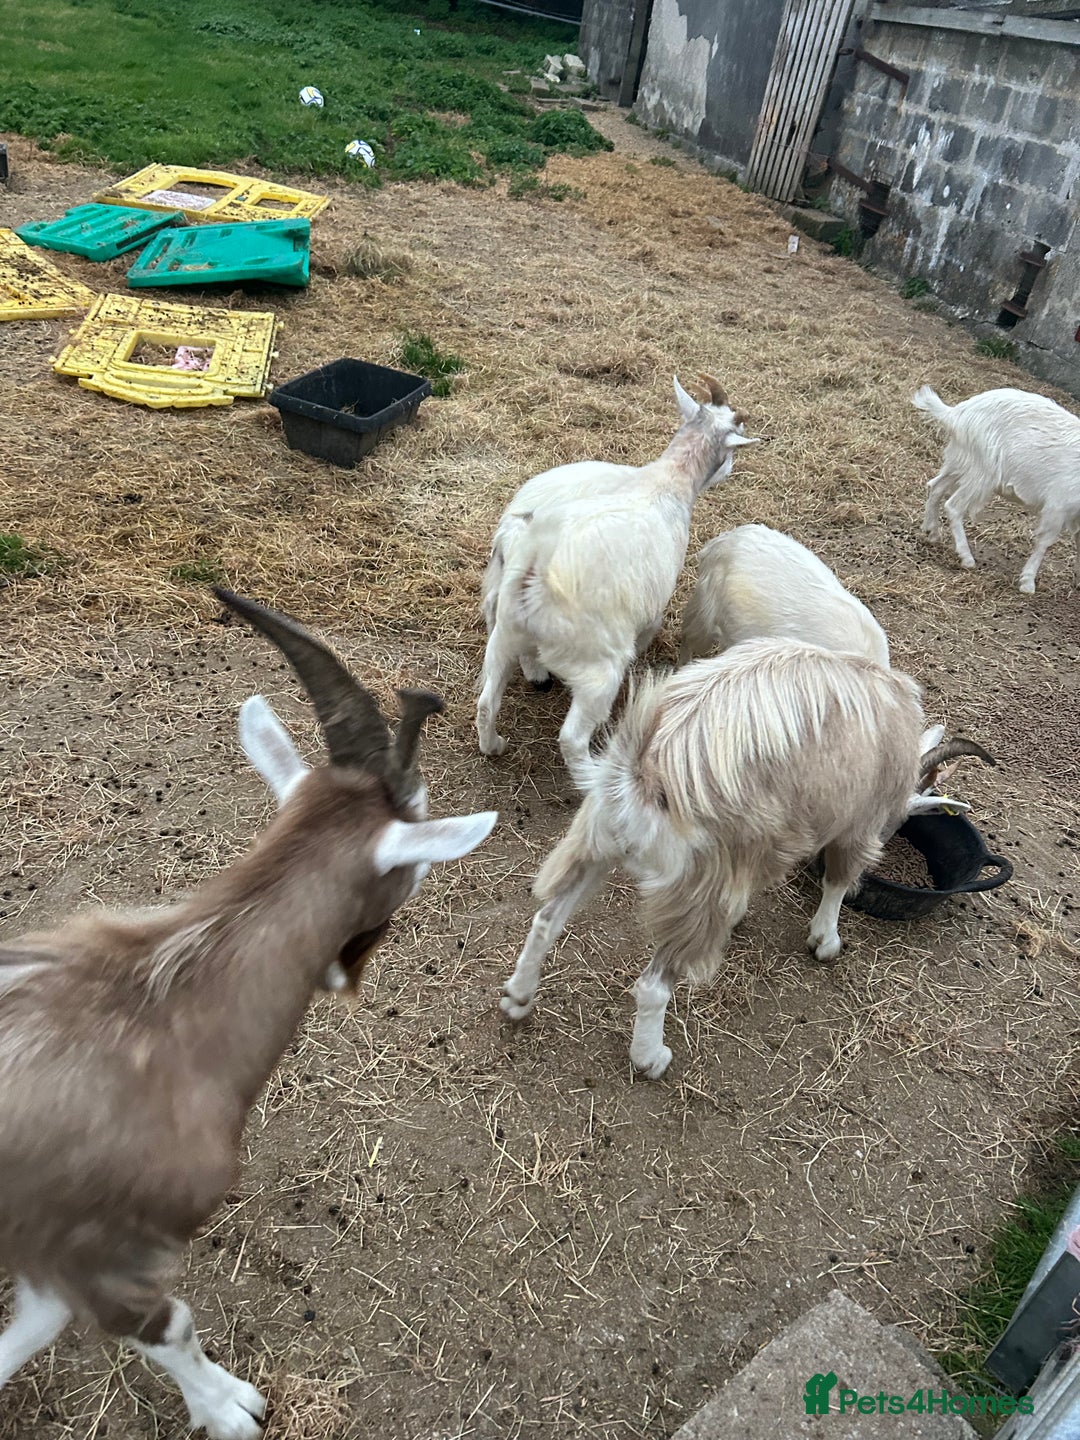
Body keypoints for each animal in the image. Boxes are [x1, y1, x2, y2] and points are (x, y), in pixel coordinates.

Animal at [0, 591, 497, 1440]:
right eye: (417, 868)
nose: (346, 971)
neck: (158, 1019)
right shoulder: (102, 1253)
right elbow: (168, 1327)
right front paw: (233, 1408)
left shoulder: (48, 1252)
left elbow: (28, 1331)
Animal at [476, 374, 757, 788]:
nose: (731, 470)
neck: (667, 481)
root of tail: (536, 568)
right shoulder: (653, 606)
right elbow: (648, 633)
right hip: (598, 668)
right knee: (571, 738)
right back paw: (592, 776)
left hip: (504, 635)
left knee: (485, 701)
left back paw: (494, 744)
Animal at [499, 638, 963, 1078]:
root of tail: (642, 770)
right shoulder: (858, 826)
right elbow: (836, 882)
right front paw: (826, 941)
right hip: (697, 887)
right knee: (653, 985)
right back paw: (650, 1058)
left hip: (595, 843)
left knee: (547, 919)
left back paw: (518, 997)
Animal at [914, 384, 1080, 594]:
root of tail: (957, 413)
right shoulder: (1059, 504)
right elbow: (1045, 541)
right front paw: (1027, 583)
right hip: (982, 472)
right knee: (953, 506)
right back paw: (966, 557)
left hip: (962, 463)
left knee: (935, 486)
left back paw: (932, 532)